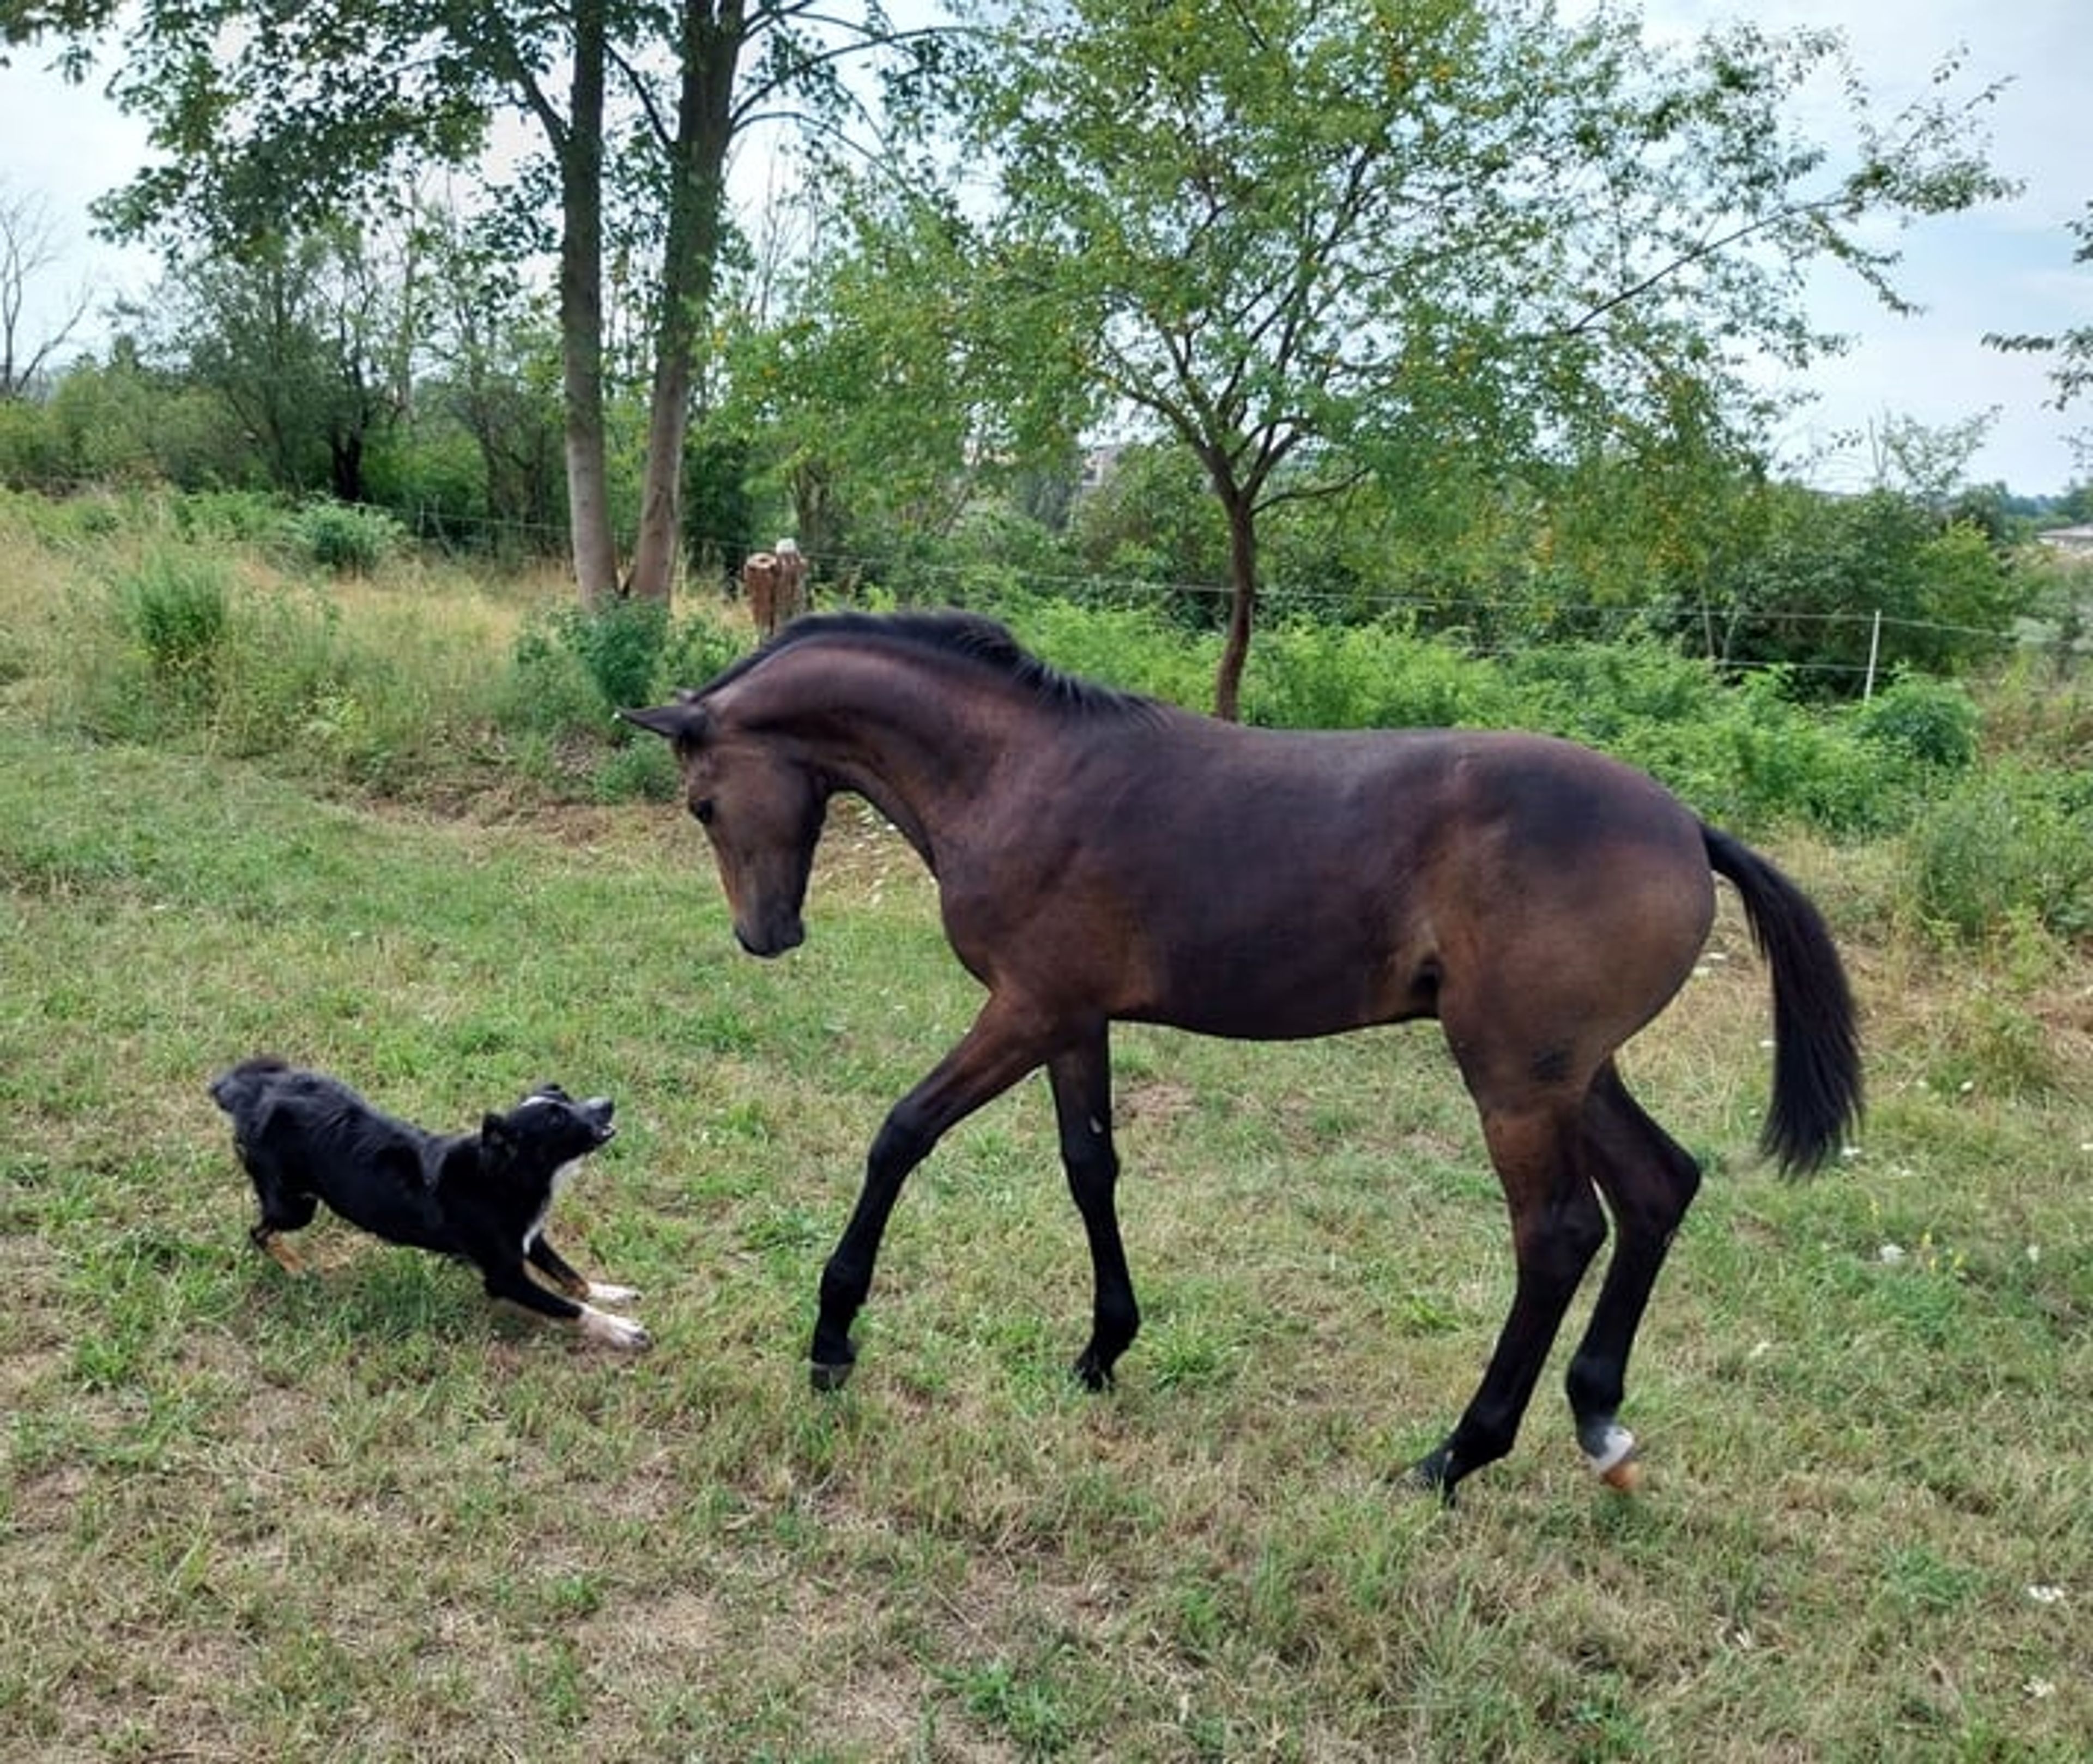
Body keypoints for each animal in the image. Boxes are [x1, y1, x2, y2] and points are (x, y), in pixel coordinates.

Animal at [621, 610, 1861, 1499]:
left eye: (699, 803)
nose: (766, 935)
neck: (1018, 771)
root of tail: (1687, 827)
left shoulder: (1024, 1008)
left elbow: (901, 1134)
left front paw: (834, 1336)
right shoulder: (1074, 1019)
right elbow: (1091, 1167)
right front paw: (1102, 1351)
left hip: (1515, 1076)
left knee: (1557, 1235)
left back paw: (1455, 1455)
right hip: (1572, 1073)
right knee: (1660, 1186)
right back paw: (1596, 1418)